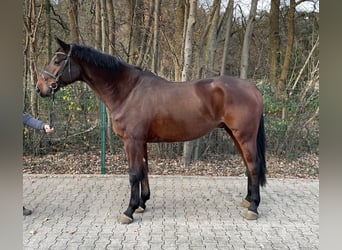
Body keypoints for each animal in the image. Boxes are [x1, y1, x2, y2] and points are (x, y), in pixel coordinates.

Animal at [37, 37, 268, 225]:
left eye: (57, 60)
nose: (40, 88)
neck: (128, 92)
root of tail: (253, 88)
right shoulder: (141, 141)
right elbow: (144, 170)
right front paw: (142, 203)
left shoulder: (132, 141)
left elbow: (133, 174)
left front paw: (128, 211)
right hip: (234, 134)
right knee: (248, 165)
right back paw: (248, 200)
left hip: (244, 135)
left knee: (254, 165)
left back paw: (253, 207)